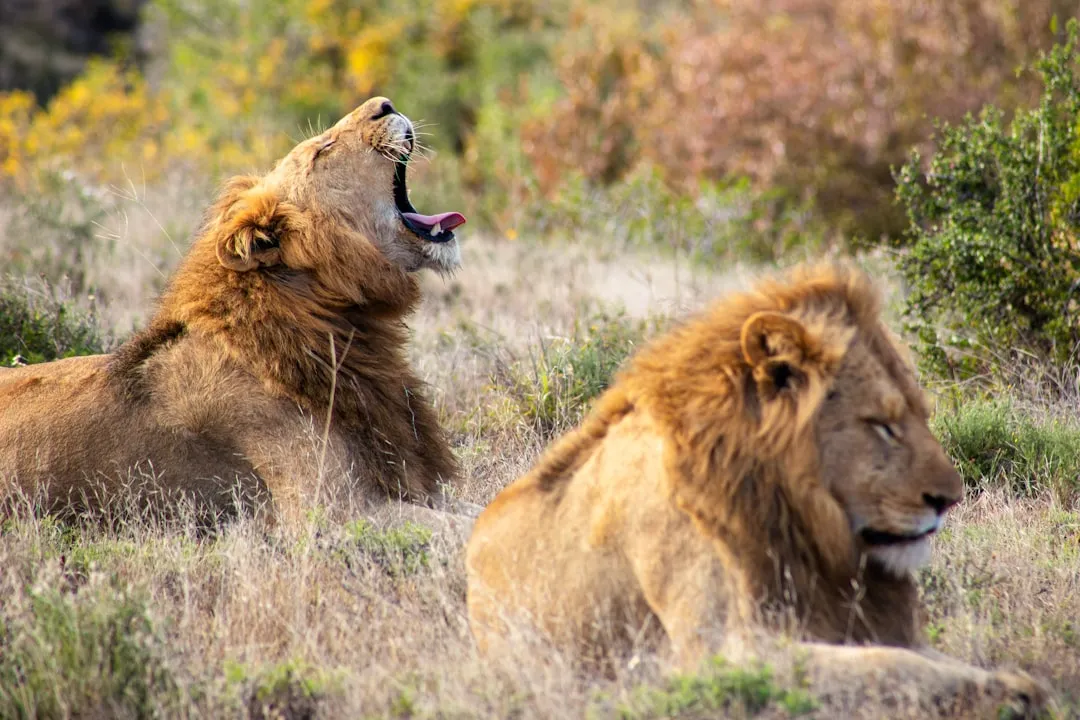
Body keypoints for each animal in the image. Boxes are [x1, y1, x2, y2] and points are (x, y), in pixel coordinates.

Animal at [465, 263, 1050, 716]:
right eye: (882, 425)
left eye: (920, 416)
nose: (949, 499)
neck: (786, 508)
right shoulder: (719, 653)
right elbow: (890, 667)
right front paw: (1011, 693)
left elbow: (920, 657)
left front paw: (1014, 681)